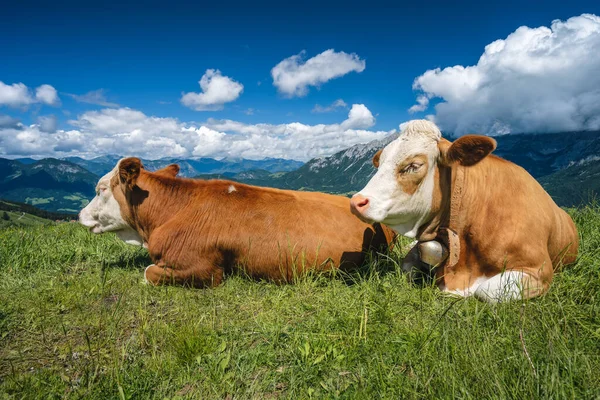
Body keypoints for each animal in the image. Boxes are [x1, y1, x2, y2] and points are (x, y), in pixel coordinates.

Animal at [350, 120, 580, 302]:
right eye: (380, 163)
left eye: (414, 165)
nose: (356, 201)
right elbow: (409, 264)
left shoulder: (539, 270)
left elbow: (486, 291)